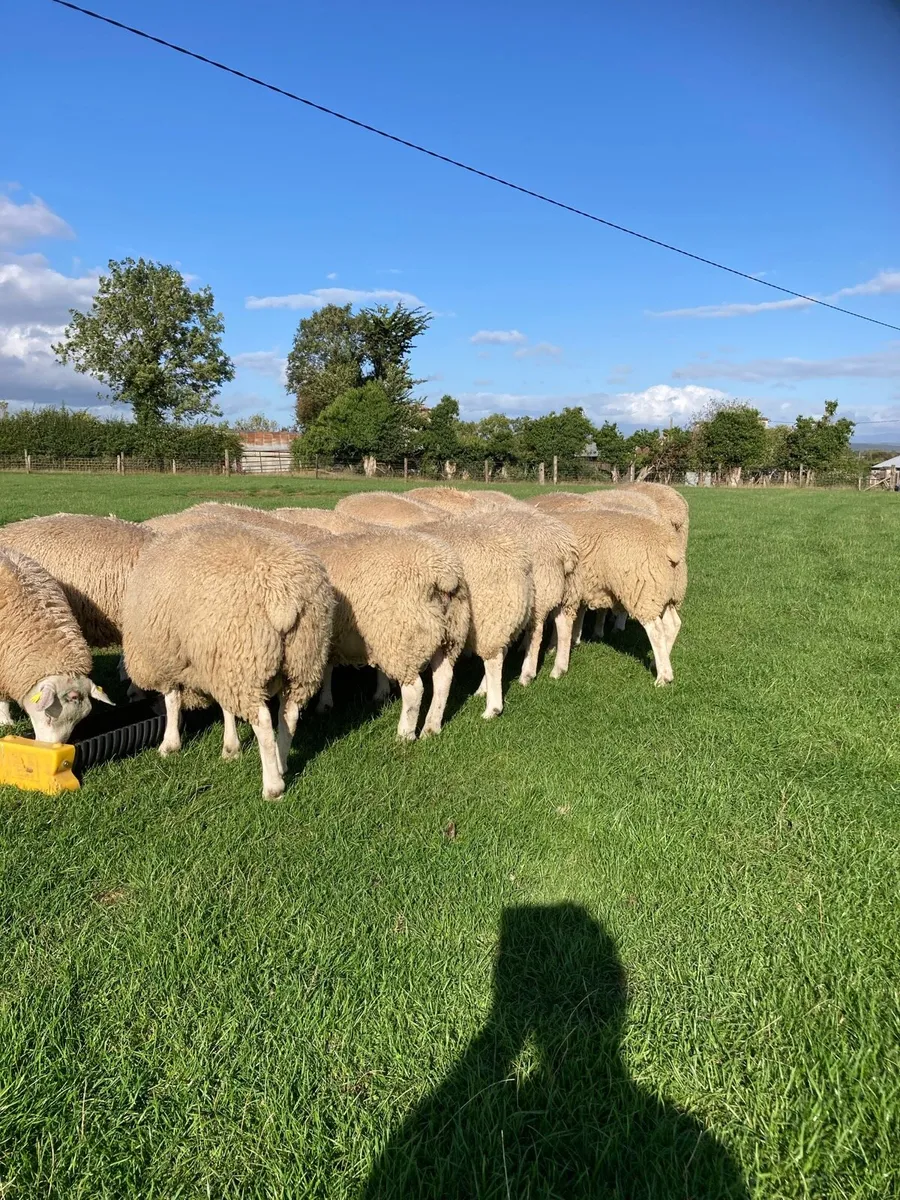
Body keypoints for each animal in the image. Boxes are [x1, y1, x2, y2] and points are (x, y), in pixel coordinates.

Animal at [122, 521, 334, 799]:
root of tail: (283, 598)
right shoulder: (217, 661)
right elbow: (226, 709)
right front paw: (231, 747)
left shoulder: (169, 660)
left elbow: (172, 701)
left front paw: (170, 744)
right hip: (302, 659)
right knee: (289, 715)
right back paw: (281, 764)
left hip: (246, 658)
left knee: (264, 723)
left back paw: (272, 787)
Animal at [550, 508, 682, 685]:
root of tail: (669, 541)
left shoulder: (563, 589)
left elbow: (561, 624)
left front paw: (558, 667)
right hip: (663, 591)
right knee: (672, 623)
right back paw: (659, 663)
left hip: (642, 590)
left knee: (656, 630)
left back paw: (663, 677)